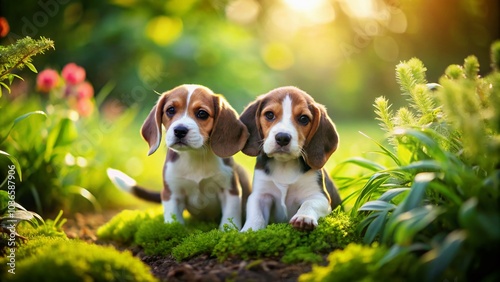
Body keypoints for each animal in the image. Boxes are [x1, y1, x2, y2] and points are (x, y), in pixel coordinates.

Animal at [108, 83, 252, 229]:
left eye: (202, 113)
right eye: (170, 110)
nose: (180, 130)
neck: (195, 155)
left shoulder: (230, 190)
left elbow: (229, 218)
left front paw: (227, 230)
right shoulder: (172, 194)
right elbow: (173, 220)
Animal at [239, 86, 342, 231]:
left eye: (304, 118)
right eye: (269, 115)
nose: (282, 137)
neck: (284, 165)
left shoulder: (319, 195)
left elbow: (309, 204)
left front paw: (304, 218)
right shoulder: (260, 194)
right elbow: (256, 214)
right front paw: (249, 229)